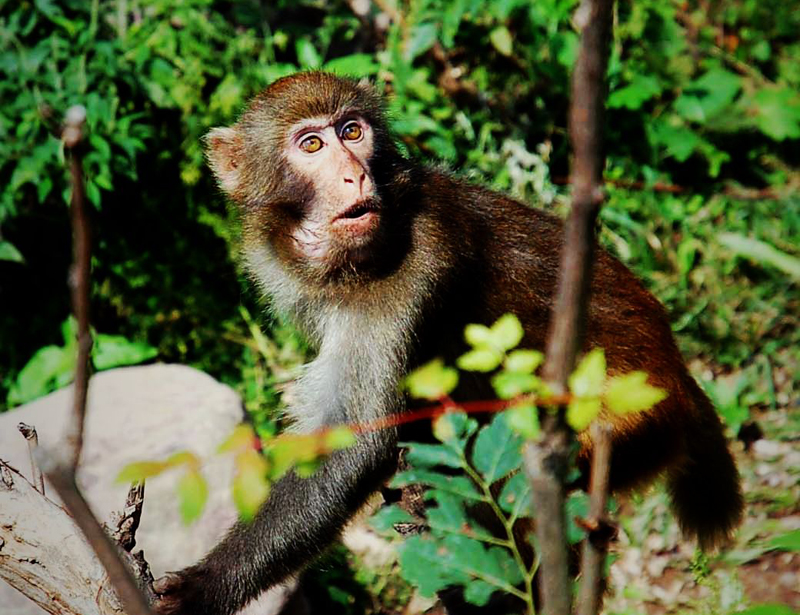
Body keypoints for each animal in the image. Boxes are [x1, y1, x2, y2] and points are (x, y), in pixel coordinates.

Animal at [155, 73, 744, 615]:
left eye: (352, 131)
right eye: (312, 145)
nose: (354, 173)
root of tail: (679, 373)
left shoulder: (414, 269)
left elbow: (355, 446)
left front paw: (205, 587)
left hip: (631, 426)